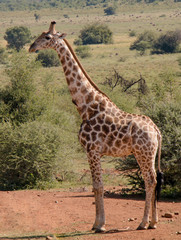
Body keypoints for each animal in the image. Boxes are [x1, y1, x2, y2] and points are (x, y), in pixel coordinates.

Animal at [29, 22, 163, 232]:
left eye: (47, 38)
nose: (31, 47)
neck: (86, 106)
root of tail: (156, 131)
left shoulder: (92, 149)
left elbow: (98, 186)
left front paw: (99, 225)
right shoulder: (94, 151)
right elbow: (95, 186)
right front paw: (97, 223)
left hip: (143, 152)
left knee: (150, 180)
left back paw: (143, 223)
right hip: (146, 153)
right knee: (154, 180)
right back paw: (153, 222)